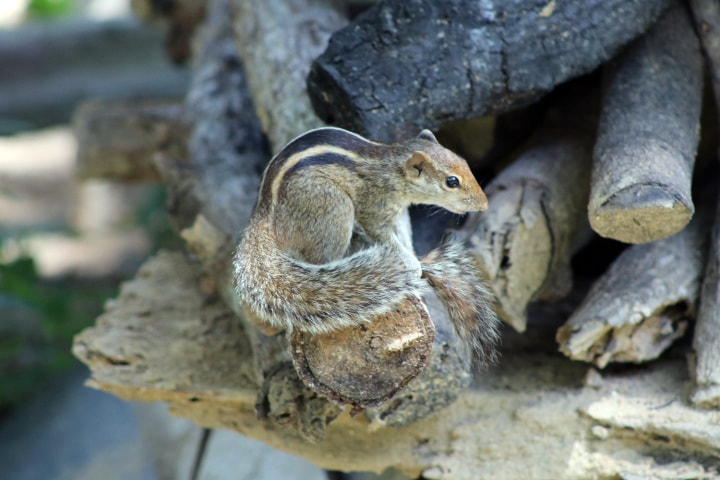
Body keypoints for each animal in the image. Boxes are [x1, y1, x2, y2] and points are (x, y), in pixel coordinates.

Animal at [234, 127, 499, 362]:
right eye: (451, 181)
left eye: (464, 162)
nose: (485, 204)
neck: (393, 170)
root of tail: (264, 215)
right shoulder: (374, 210)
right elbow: (385, 237)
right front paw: (411, 263)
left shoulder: (397, 216)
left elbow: (401, 235)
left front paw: (412, 253)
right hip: (332, 208)